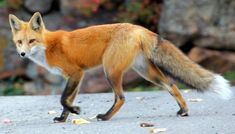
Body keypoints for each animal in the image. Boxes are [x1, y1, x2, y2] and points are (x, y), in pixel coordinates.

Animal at [8, 12, 231, 122]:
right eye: (20, 42)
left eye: (32, 41)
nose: (22, 54)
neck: (48, 46)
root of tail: (138, 28)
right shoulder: (74, 77)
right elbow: (66, 102)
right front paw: (64, 118)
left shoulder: (76, 73)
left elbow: (63, 99)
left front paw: (75, 111)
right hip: (146, 72)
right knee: (173, 86)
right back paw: (184, 110)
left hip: (110, 70)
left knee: (121, 97)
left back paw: (106, 117)